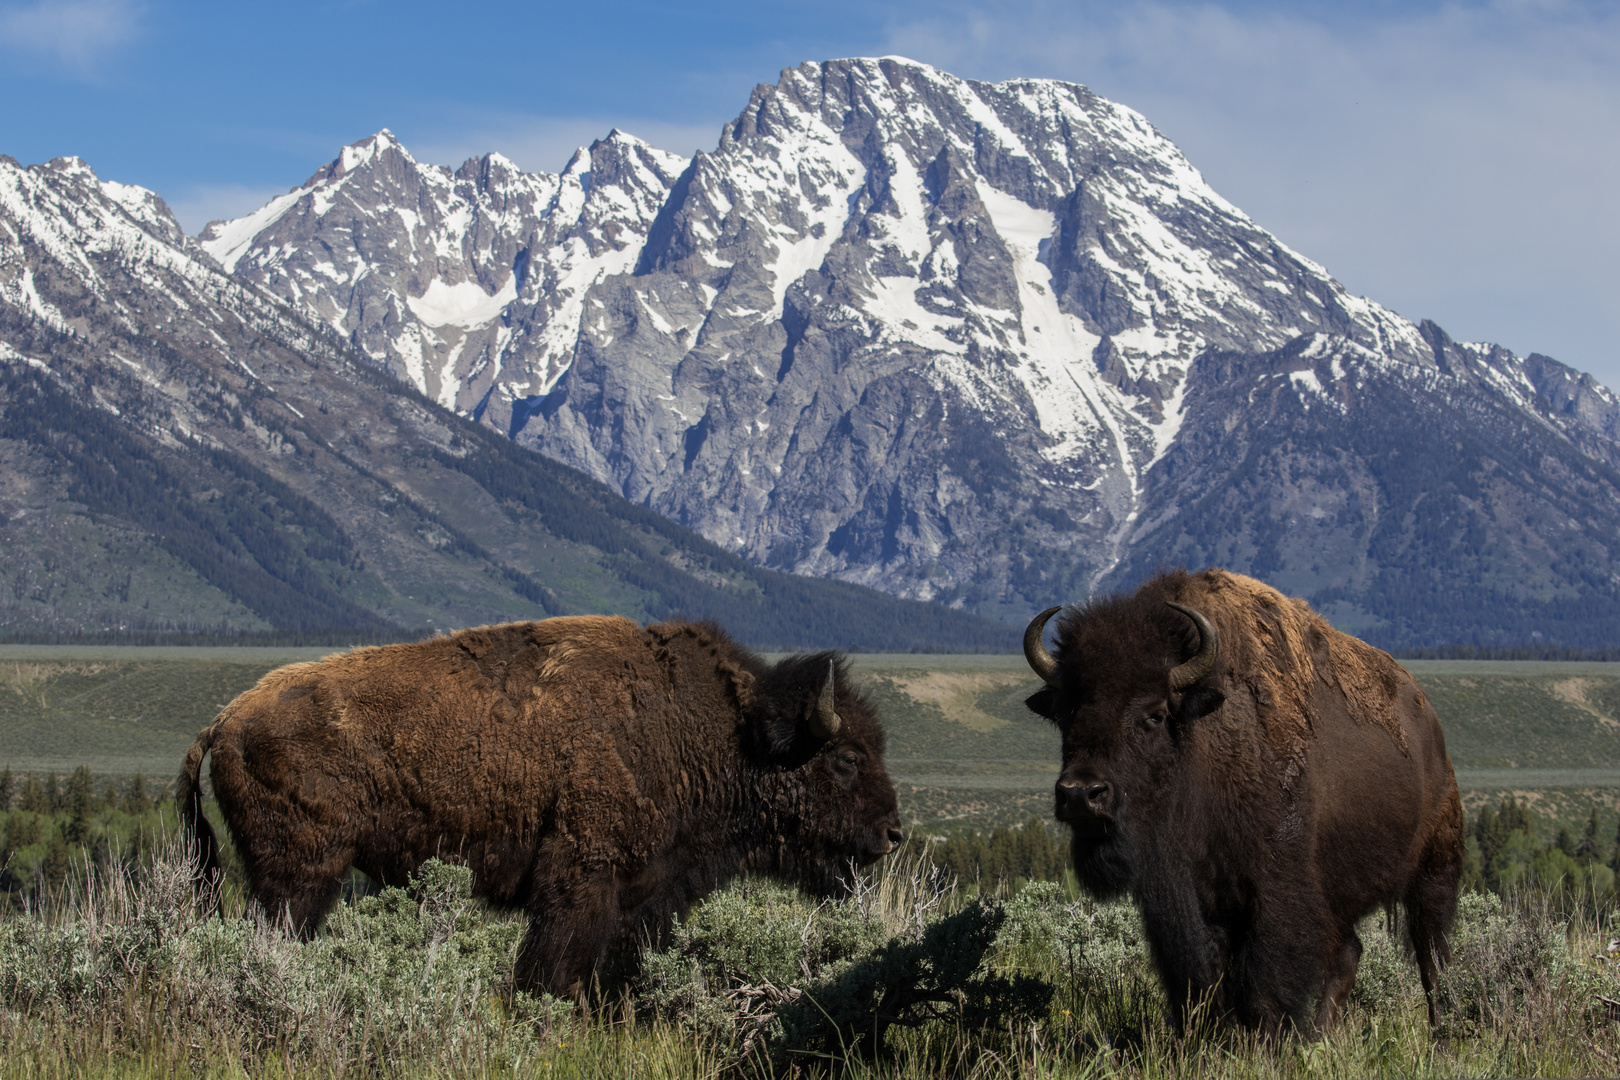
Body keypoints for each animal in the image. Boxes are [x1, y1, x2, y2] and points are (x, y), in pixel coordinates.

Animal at [183, 615, 907, 997]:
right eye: (846, 759)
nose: (892, 833)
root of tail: (227, 718)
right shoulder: (581, 882)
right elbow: (556, 971)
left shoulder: (644, 897)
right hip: (299, 878)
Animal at [1023, 569, 1470, 1036]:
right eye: (1066, 712)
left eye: (1155, 715)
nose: (1080, 794)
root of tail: (1426, 719)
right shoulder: (1181, 902)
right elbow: (1200, 984)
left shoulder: (1275, 893)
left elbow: (1262, 988)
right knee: (1349, 953)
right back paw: (1322, 1036)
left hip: (1434, 871)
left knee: (1432, 958)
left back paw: (1442, 1035)